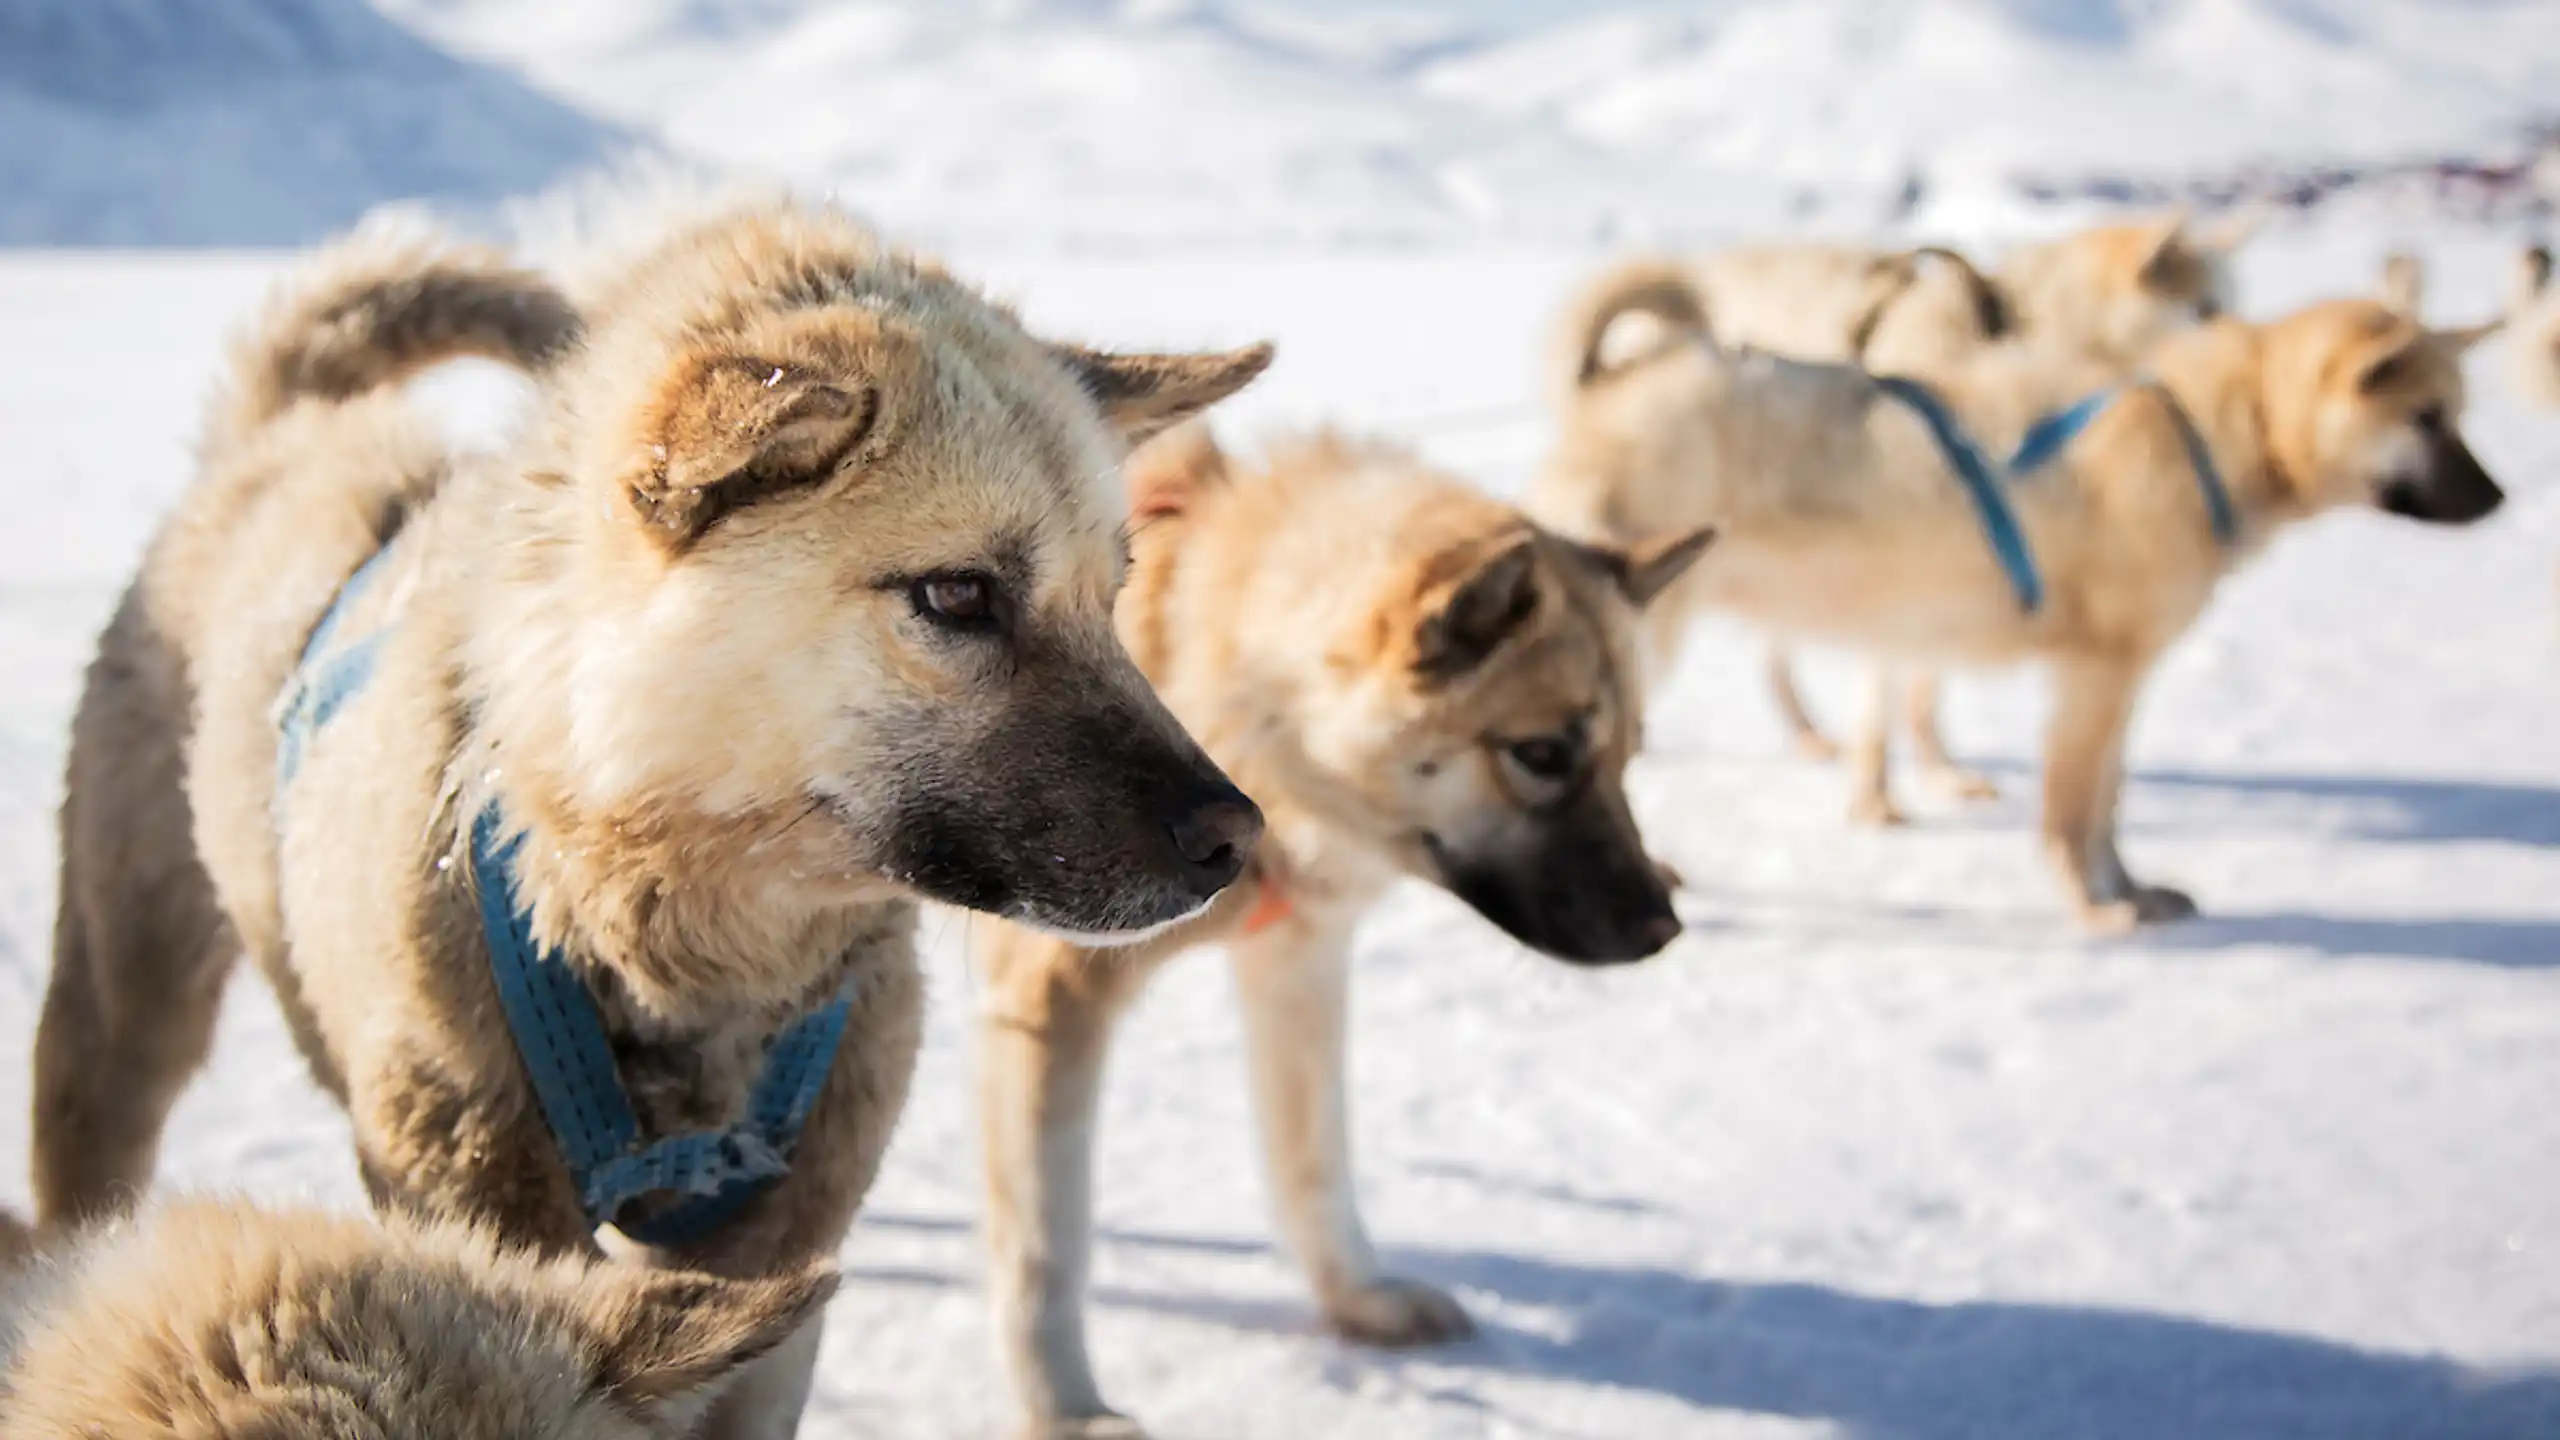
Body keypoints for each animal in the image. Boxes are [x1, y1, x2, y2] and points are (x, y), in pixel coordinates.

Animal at [967, 422, 1710, 1434]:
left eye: (1629, 756)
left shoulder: (1300, 963)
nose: (1660, 928)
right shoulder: (1049, 1004)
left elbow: (1314, 1162)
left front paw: (1357, 1300)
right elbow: (1049, 1245)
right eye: (1541, 754)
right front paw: (1067, 1412)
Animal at [1536, 258, 2498, 932]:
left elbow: (2105, 805)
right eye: (2427, 420)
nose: (2499, 500)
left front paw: (2133, 890)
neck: (2196, 429)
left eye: (2457, 415)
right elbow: (2073, 813)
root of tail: (1609, 381)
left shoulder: (2116, 686)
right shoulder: (2094, 680)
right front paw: (2098, 907)